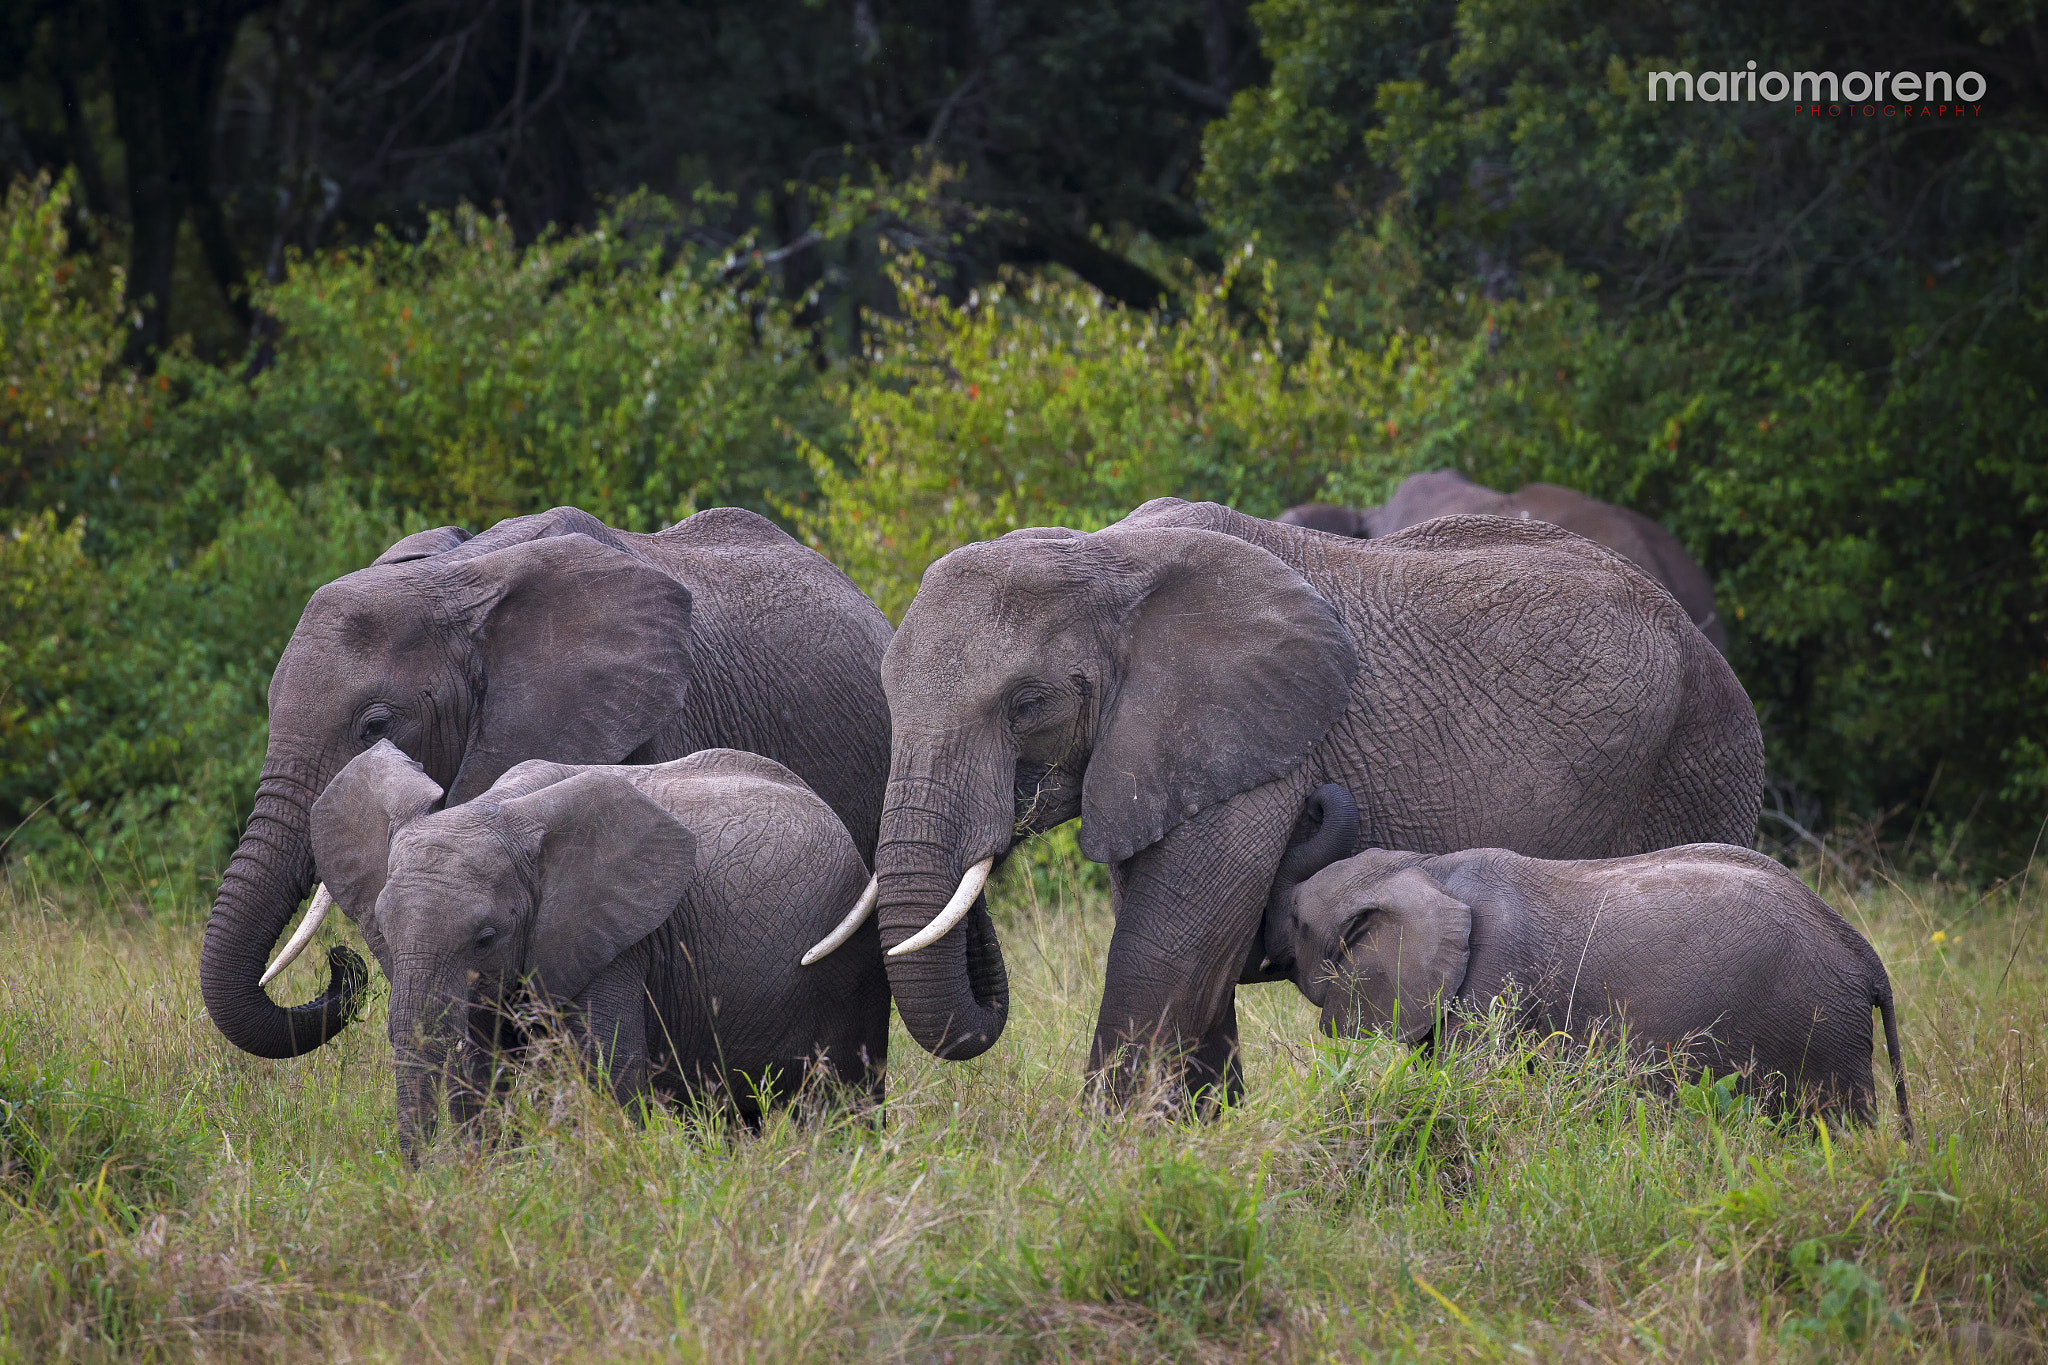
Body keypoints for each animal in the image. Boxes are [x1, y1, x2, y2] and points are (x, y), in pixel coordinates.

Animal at [307, 740, 884, 1162]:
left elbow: (604, 1074)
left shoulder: (618, 944)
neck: (499, 811)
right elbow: (479, 1075)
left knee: (845, 1095)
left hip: (847, 966)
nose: (424, 1174)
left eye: (486, 938)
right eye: (381, 932)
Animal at [815, 497, 1761, 1105]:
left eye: (1025, 704)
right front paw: (1194, 1133)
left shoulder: (1256, 737)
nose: (1329, 802)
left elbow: (1168, 939)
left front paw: (1112, 1147)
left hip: (1700, 761)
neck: (1104, 556)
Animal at [1269, 794, 1908, 1129]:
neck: (1428, 868)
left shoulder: (1493, 985)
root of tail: (1867, 960)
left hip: (1816, 1028)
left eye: (1298, 921)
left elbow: (1467, 1088)